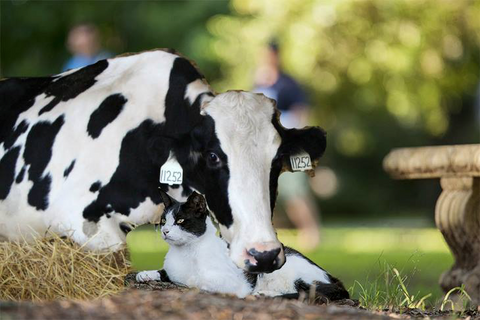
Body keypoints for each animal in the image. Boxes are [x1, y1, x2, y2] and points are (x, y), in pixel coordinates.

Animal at [135, 191, 348, 302]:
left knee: (311, 290)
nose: (165, 231)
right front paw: (145, 274)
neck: (185, 252)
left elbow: (201, 280)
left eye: (180, 221)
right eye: (164, 221)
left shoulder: (232, 280)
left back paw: (265, 293)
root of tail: (332, 277)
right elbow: (165, 272)